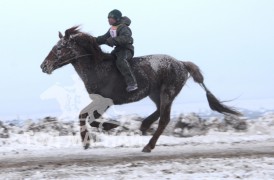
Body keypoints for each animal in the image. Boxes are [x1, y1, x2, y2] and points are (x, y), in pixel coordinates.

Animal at [40, 26, 242, 153]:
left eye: (59, 48)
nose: (44, 66)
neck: (97, 68)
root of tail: (181, 63)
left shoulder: (105, 101)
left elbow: (90, 118)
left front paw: (112, 126)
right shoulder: (98, 101)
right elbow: (83, 115)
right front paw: (87, 142)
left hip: (167, 91)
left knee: (164, 119)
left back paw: (148, 145)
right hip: (155, 94)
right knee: (159, 112)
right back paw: (144, 125)